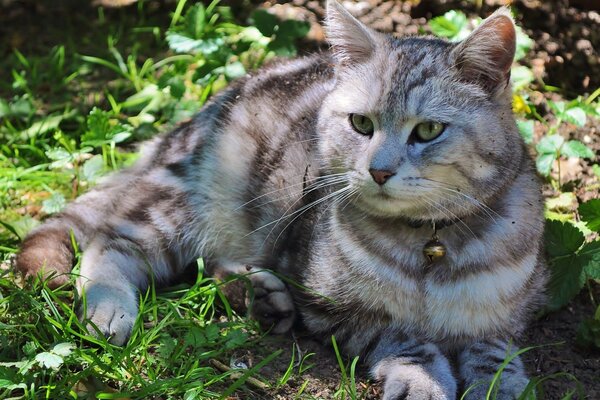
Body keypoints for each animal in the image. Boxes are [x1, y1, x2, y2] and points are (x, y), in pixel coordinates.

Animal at [15, 1, 548, 398]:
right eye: (361, 124)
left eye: (429, 131)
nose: (378, 169)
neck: (428, 248)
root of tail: (195, 116)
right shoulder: (334, 309)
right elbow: (407, 341)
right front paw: (425, 380)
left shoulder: (506, 321)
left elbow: (495, 356)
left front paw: (500, 385)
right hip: (190, 208)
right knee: (111, 240)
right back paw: (110, 310)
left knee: (214, 264)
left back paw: (260, 297)